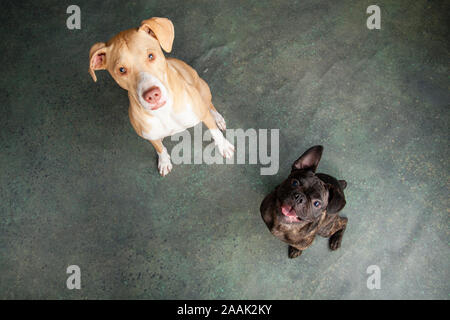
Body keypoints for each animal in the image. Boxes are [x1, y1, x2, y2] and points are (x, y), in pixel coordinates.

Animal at [89, 18, 236, 175]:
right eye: (121, 70)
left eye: (151, 56)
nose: (152, 95)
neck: (164, 111)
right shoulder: (150, 136)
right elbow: (159, 148)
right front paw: (164, 161)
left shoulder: (202, 114)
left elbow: (215, 132)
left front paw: (224, 146)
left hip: (203, 89)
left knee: (210, 105)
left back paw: (218, 118)